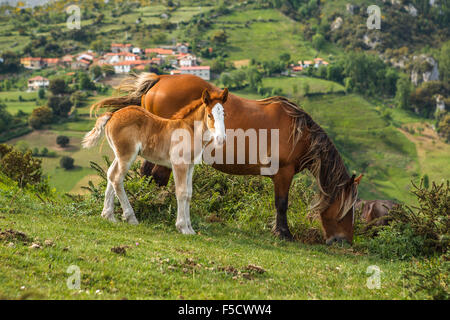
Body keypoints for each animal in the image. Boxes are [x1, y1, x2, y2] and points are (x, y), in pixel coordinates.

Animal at [93, 73, 364, 245]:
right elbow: (281, 204)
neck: (299, 132)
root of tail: (160, 80)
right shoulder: (283, 173)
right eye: (347, 209)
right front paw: (283, 233)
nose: (344, 241)